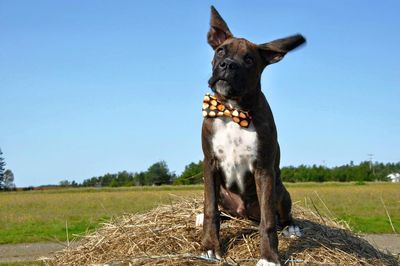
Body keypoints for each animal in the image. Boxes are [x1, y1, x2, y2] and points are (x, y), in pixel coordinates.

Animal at [198, 6, 304, 266]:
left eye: (249, 59)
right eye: (220, 50)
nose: (227, 65)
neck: (233, 109)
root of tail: (242, 213)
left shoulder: (263, 169)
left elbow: (268, 221)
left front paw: (269, 257)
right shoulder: (210, 163)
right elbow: (210, 209)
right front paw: (210, 247)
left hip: (280, 190)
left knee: (281, 215)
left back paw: (292, 227)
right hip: (223, 193)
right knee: (220, 211)